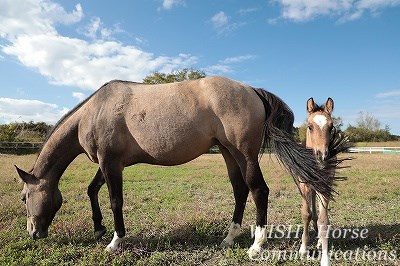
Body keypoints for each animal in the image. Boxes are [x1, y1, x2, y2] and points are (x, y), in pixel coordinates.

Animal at [17, 76, 340, 258]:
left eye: (23, 197)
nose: (33, 234)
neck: (95, 111)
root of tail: (252, 90)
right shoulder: (110, 164)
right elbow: (91, 189)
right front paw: (98, 229)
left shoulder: (111, 164)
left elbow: (115, 200)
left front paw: (115, 241)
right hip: (228, 153)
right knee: (239, 191)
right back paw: (229, 237)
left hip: (245, 154)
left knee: (258, 190)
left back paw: (256, 244)